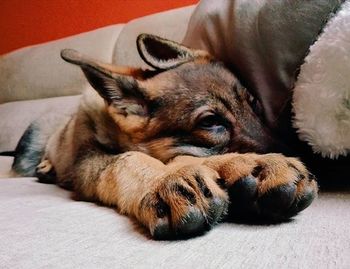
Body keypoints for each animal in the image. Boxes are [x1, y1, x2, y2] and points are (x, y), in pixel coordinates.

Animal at [11, 33, 318, 239]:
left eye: (254, 104)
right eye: (211, 122)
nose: (300, 153)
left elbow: (184, 156)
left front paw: (247, 165)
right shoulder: (87, 162)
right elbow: (127, 160)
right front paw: (163, 180)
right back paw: (45, 167)